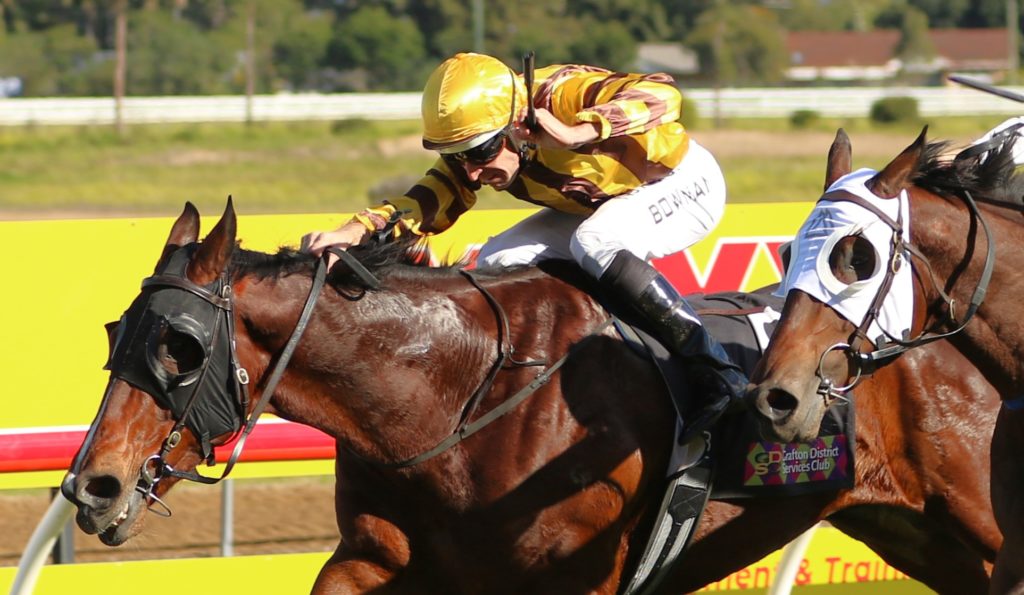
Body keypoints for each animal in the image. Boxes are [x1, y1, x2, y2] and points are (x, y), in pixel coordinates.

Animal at [60, 200, 1002, 594]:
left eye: (180, 349)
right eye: (114, 335)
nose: (90, 485)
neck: (454, 395)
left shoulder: (578, 578)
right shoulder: (378, 558)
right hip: (921, 534)